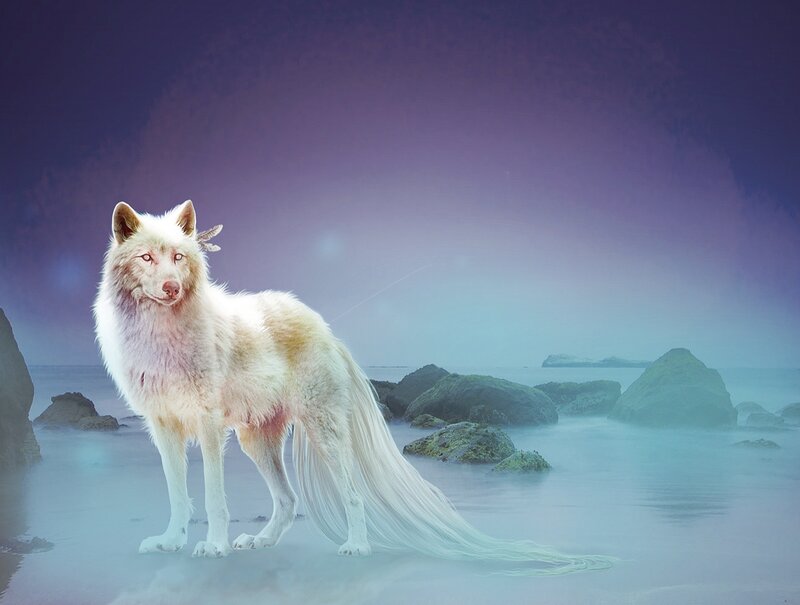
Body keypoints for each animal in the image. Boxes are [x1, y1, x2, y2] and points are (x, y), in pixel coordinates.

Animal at [93, 200, 613, 573]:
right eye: (147, 257)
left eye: (178, 257)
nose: (170, 288)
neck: (161, 335)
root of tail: (329, 330)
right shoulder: (164, 429)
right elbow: (178, 496)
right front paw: (170, 542)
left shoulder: (207, 428)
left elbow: (214, 499)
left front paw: (213, 547)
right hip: (254, 440)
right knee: (288, 501)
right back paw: (260, 542)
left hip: (321, 435)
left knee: (353, 495)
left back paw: (356, 548)